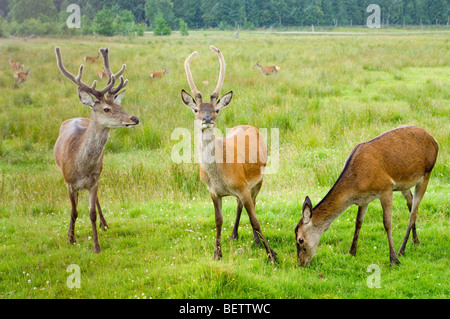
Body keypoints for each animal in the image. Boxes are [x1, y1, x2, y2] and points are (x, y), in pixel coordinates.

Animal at [52, 46, 138, 254]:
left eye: (119, 104)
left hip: (99, 173)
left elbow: (91, 213)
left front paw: (96, 246)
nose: (135, 119)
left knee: (97, 201)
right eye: (106, 109)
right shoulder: (69, 182)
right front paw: (70, 239)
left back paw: (104, 224)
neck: (81, 165)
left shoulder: (94, 180)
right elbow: (74, 211)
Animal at [180, 47, 278, 262]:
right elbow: (218, 220)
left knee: (251, 205)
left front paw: (272, 254)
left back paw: (256, 240)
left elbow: (256, 220)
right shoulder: (213, 192)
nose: (207, 119)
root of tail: (249, 125)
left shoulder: (242, 186)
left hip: (258, 180)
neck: (220, 175)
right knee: (240, 205)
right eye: (196, 110)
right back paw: (234, 235)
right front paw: (217, 253)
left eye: (216, 109)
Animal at [294, 126, 438, 266]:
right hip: (405, 184)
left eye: (300, 240)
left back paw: (401, 251)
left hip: (427, 174)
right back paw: (415, 240)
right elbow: (358, 222)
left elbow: (387, 223)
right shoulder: (364, 199)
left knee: (413, 213)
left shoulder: (386, 188)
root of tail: (434, 141)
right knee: (410, 203)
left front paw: (393, 260)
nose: (301, 262)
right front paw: (352, 252)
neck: (358, 182)